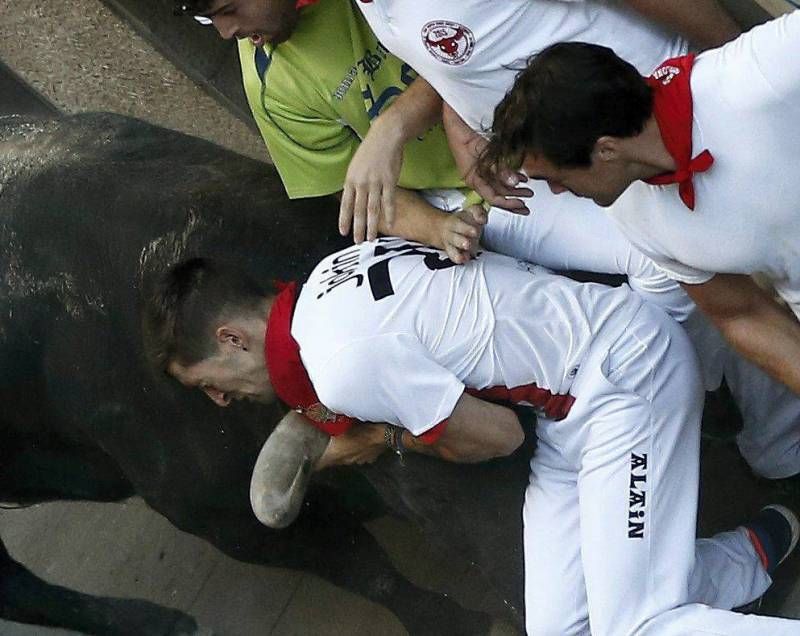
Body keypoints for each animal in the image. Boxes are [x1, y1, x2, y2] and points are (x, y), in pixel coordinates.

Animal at [1, 113, 532, 632]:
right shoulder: (218, 515)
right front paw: (451, 620)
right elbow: (365, 569)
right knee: (20, 590)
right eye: (423, 495)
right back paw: (154, 621)